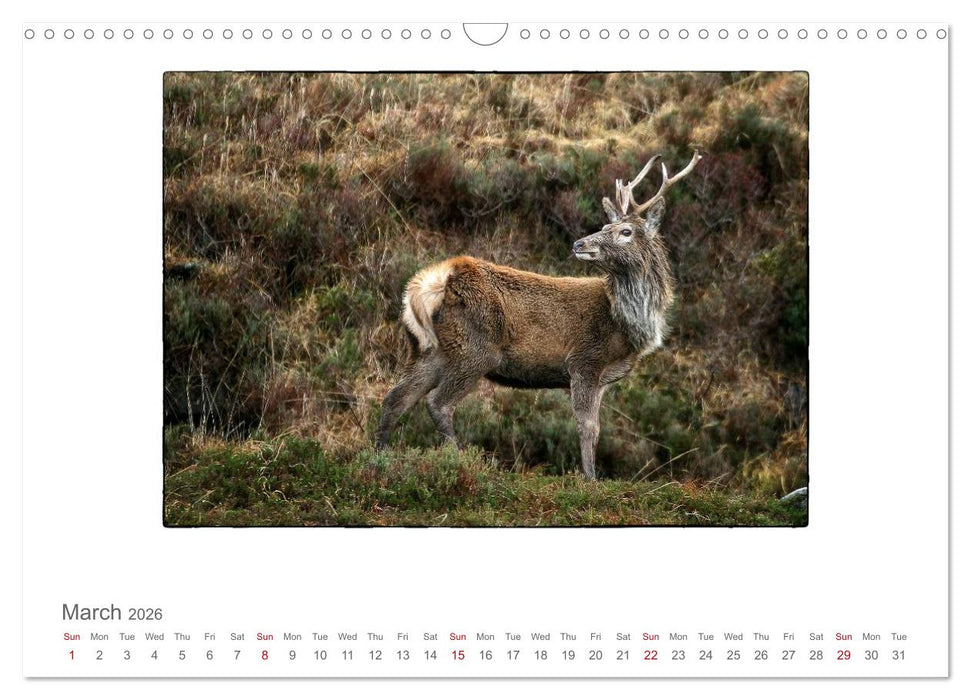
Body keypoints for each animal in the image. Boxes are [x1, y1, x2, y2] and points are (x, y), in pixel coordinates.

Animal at [375, 151, 702, 480]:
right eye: (605, 227)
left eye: (625, 232)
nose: (579, 244)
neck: (624, 325)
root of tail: (435, 281)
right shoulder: (585, 360)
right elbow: (587, 427)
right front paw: (590, 479)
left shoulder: (603, 378)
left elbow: (597, 428)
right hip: (476, 349)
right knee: (437, 403)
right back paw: (458, 460)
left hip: (429, 349)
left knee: (395, 399)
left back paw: (380, 457)